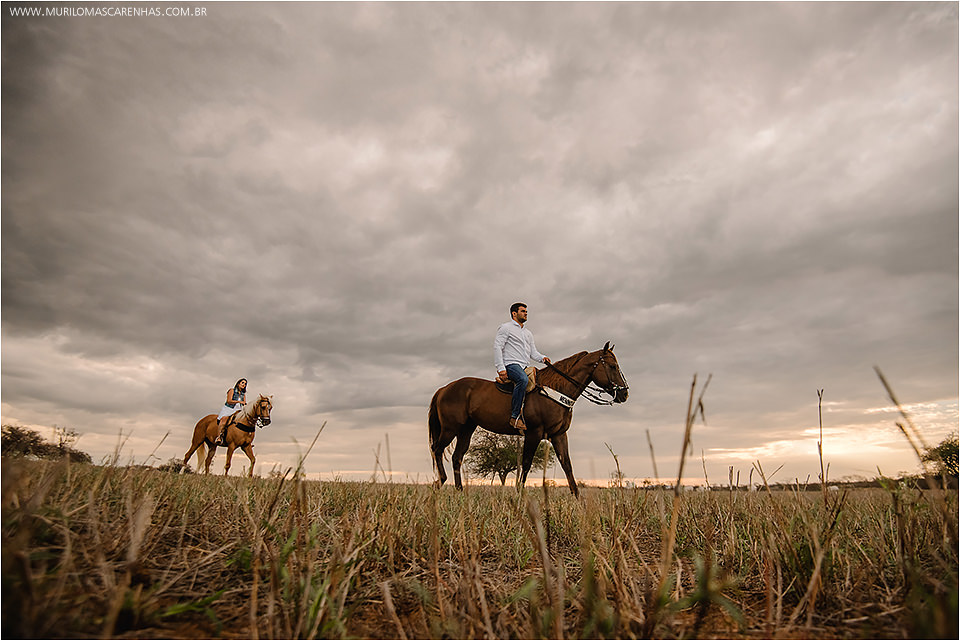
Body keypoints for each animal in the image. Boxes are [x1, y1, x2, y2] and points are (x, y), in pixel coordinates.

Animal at [429, 342, 628, 497]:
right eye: (612, 366)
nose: (624, 394)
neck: (555, 390)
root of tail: (444, 389)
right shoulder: (534, 433)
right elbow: (525, 464)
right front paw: (519, 494)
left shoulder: (559, 435)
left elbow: (567, 465)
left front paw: (578, 498)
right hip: (450, 428)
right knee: (437, 449)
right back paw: (440, 482)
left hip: (466, 429)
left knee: (457, 457)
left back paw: (460, 491)